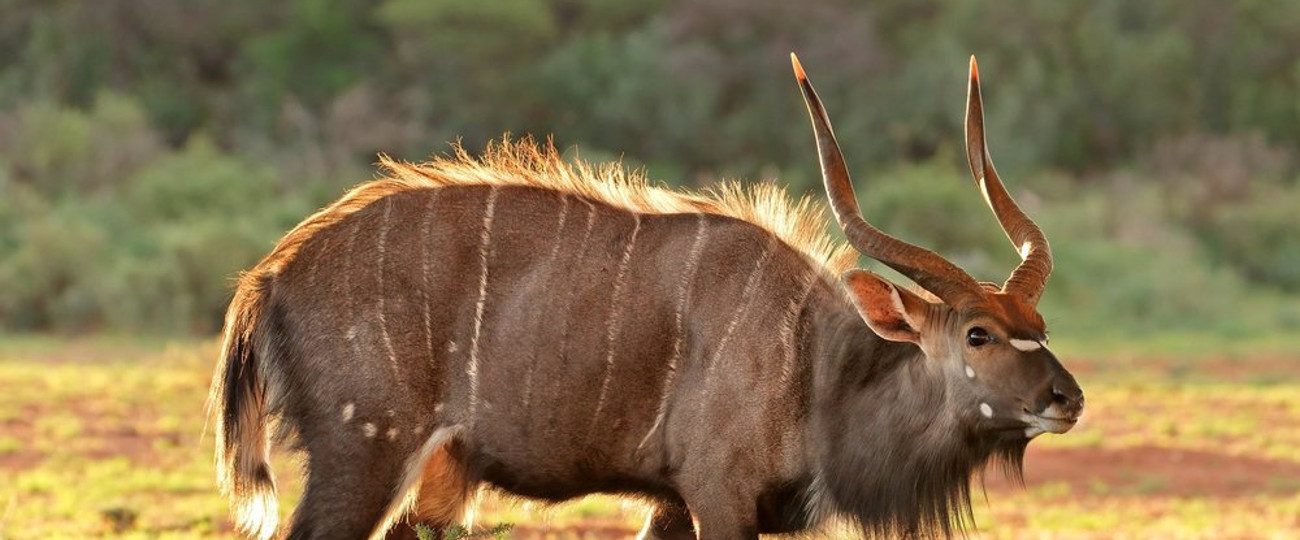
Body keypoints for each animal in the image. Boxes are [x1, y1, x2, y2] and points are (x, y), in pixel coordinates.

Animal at [209, 55, 1083, 539]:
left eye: (1038, 323)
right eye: (977, 334)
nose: (1066, 398)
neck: (812, 363)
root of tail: (267, 279)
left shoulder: (671, 504)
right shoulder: (719, 496)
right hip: (363, 454)